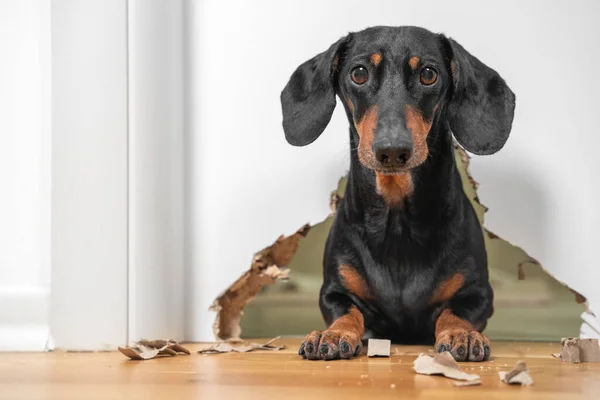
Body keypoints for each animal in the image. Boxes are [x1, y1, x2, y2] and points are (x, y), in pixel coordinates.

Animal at [282, 25, 516, 362]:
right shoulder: (334, 291)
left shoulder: (478, 294)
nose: (392, 150)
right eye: (359, 73)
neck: (397, 225)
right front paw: (334, 333)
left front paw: (462, 334)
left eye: (428, 74)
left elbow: (455, 312)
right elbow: (347, 311)